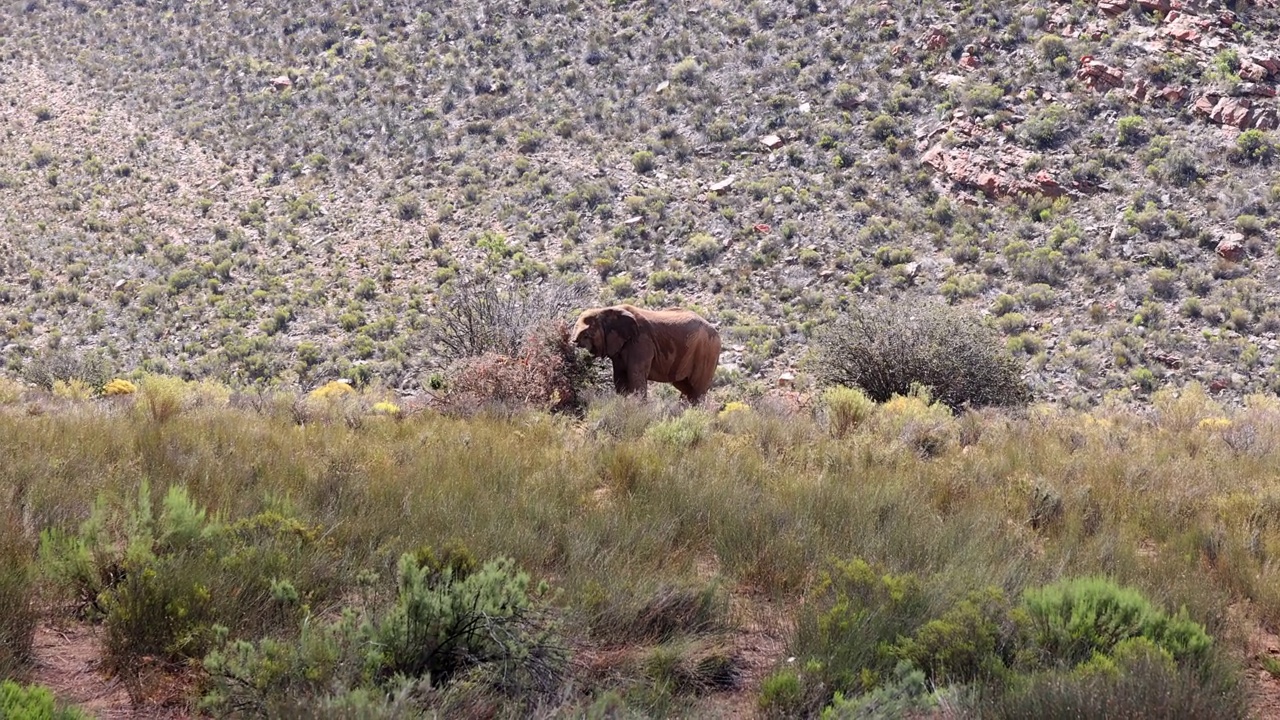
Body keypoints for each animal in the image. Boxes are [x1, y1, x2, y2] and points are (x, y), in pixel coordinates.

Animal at [570, 302, 721, 404]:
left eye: (587, 334)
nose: (574, 342)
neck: (606, 310)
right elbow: (620, 377)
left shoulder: (641, 342)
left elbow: (635, 375)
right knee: (685, 387)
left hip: (707, 351)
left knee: (697, 389)